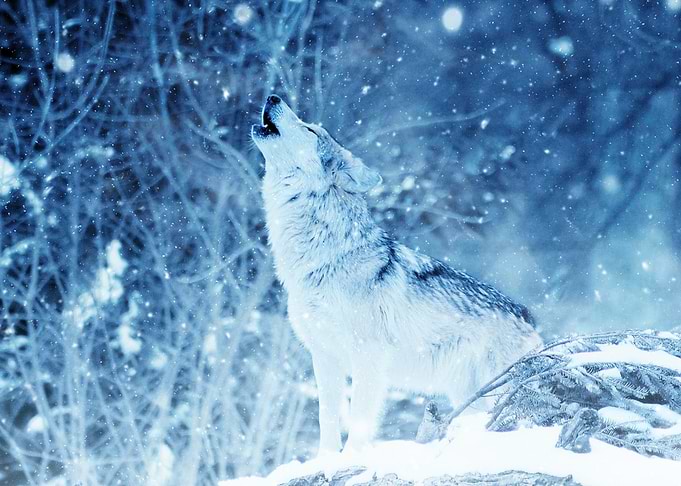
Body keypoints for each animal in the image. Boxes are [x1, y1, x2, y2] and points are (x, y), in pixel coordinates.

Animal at [251, 95, 543, 453]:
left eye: (309, 129)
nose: (273, 97)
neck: (325, 257)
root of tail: (530, 319)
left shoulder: (368, 357)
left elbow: (360, 422)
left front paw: (352, 459)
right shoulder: (325, 357)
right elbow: (327, 419)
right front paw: (326, 459)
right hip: (467, 395)